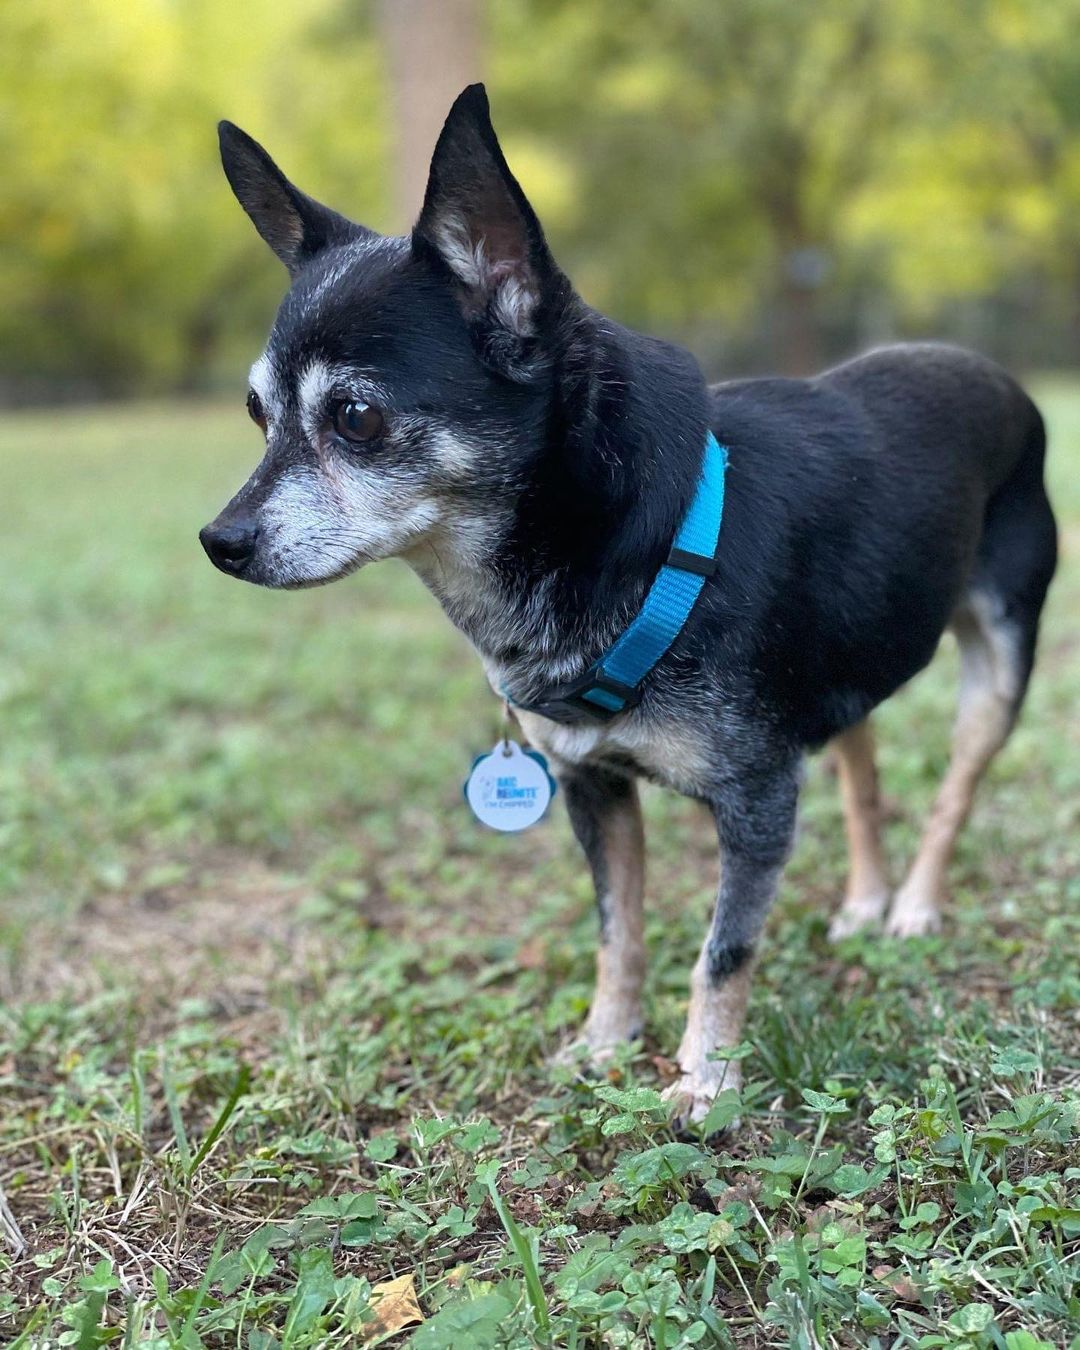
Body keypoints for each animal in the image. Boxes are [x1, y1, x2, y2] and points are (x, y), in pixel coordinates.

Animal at [199, 78, 1053, 1123]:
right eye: (257, 415)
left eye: (355, 418)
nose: (219, 541)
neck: (632, 547)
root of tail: (995, 372)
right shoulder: (593, 788)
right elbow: (620, 930)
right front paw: (606, 1043)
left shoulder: (758, 802)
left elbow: (722, 950)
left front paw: (705, 1078)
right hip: (853, 652)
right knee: (861, 762)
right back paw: (865, 898)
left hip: (1000, 662)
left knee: (956, 787)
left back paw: (917, 904)